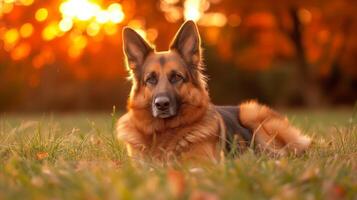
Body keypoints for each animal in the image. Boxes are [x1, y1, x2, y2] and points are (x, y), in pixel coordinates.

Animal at [115, 20, 310, 164]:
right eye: (151, 79)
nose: (161, 104)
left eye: (176, 77)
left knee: (283, 153)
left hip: (251, 113)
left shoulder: (201, 164)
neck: (165, 132)